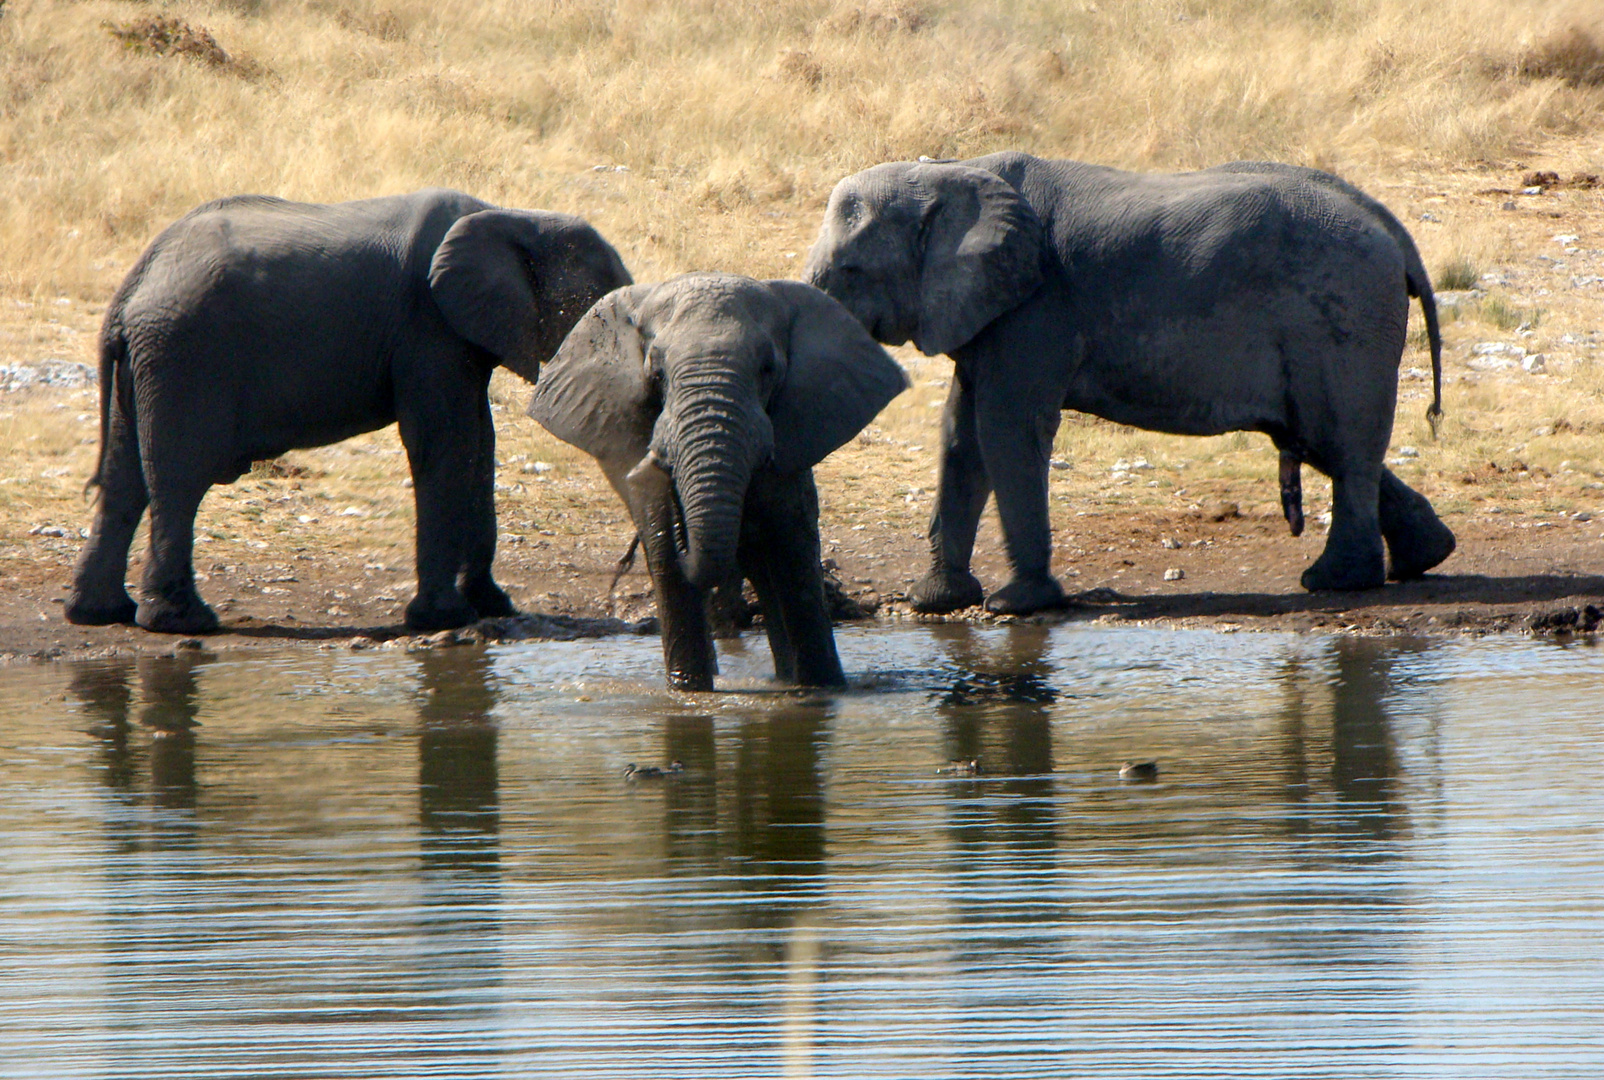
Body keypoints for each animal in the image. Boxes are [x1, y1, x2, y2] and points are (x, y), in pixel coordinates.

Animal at [68, 186, 631, 632]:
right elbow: (444, 443)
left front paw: (494, 607)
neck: (515, 216)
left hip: (148, 362)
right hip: (185, 355)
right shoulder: (427, 324)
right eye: (603, 314)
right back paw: (183, 623)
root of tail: (131, 288)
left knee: (124, 478)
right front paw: (445, 620)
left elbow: (478, 442)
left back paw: (100, 614)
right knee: (178, 478)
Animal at [526, 274, 904, 686]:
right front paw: (689, 690)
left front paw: (820, 688)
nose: (658, 469)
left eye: (768, 369)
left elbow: (792, 553)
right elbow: (665, 555)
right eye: (656, 375)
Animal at [808, 149, 1462, 616]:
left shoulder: (1037, 304)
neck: (949, 172)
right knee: (1323, 441)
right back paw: (1423, 558)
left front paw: (1015, 607)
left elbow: (1006, 427)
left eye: (850, 271)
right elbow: (961, 434)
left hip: (1343, 315)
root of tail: (1393, 230)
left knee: (1340, 445)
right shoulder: (988, 310)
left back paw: (1334, 583)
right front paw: (935, 602)